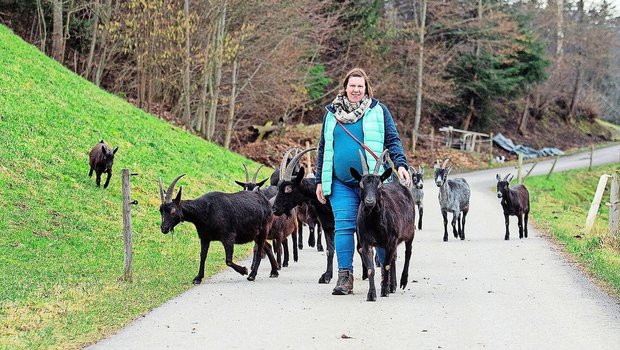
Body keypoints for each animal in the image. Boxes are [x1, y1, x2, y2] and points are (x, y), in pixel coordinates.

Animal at [272, 146, 336, 284]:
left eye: (288, 188)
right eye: (278, 187)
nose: (274, 209)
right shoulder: (328, 225)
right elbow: (330, 250)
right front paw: (326, 276)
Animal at [348, 150, 416, 300]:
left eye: (379, 185)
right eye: (361, 184)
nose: (369, 201)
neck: (374, 223)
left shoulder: (391, 241)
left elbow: (385, 266)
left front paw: (384, 291)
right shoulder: (366, 242)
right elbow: (371, 270)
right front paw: (372, 294)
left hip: (410, 232)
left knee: (408, 252)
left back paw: (402, 281)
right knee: (394, 258)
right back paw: (392, 285)